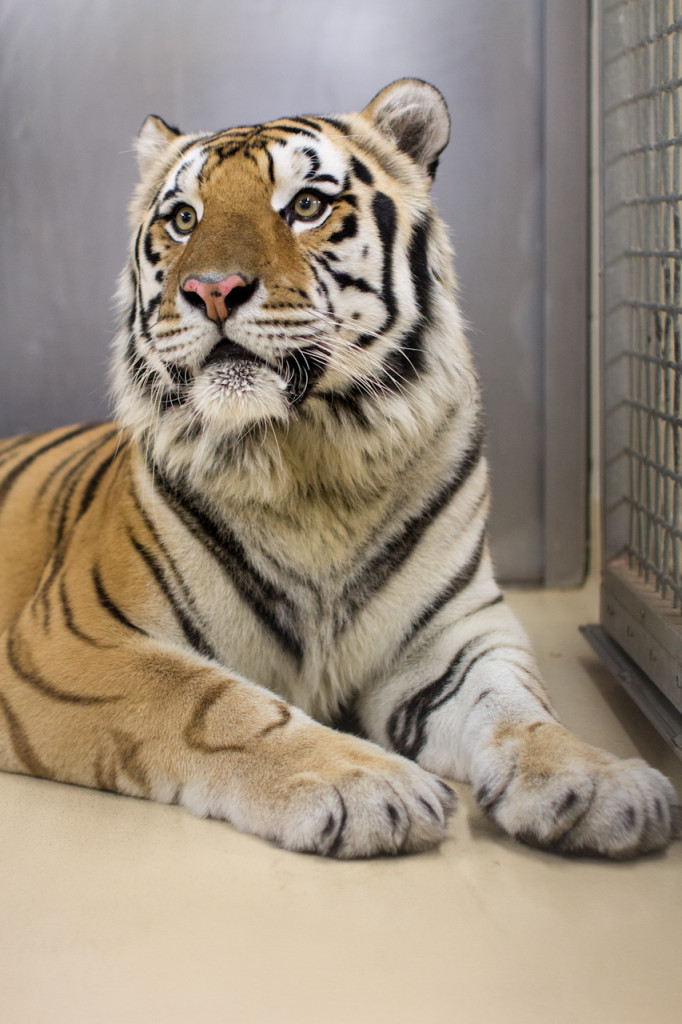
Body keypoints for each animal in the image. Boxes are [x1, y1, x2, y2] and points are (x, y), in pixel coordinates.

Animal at [2, 81, 675, 864]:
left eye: (305, 206)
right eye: (182, 218)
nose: (212, 288)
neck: (309, 468)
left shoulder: (452, 637)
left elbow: (515, 702)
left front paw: (595, 780)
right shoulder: (71, 641)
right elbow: (214, 701)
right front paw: (365, 783)